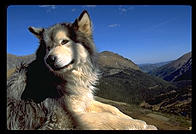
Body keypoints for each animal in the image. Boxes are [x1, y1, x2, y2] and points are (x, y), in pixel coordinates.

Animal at [7, 10, 158, 130]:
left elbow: (112, 108)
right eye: (48, 48)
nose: (50, 59)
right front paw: (141, 124)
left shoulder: (85, 100)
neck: (67, 78)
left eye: (64, 41)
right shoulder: (64, 118)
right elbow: (105, 117)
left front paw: (131, 119)